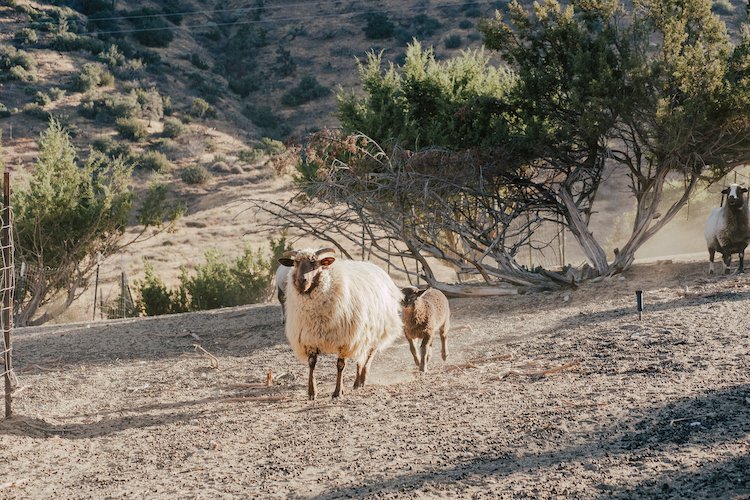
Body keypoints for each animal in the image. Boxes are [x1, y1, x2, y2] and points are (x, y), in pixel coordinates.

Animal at [278, 248, 406, 400]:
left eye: (315, 263)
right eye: (296, 263)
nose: (301, 282)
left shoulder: (345, 340)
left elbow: (340, 365)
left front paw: (338, 392)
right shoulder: (310, 338)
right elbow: (311, 364)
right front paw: (312, 392)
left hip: (377, 331)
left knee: (369, 355)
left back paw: (362, 379)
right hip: (364, 335)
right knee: (360, 358)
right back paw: (357, 382)